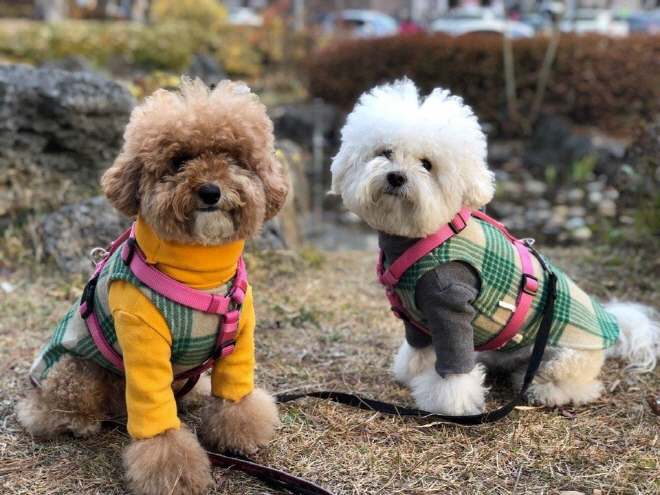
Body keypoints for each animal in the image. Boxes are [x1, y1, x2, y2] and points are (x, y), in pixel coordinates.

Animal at [330, 79, 660, 416]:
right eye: (385, 152)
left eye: (427, 164)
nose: (396, 176)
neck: (423, 239)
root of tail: (612, 322)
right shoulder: (416, 319)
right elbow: (418, 350)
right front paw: (412, 373)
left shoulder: (449, 304)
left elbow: (455, 369)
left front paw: (449, 403)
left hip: (566, 357)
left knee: (573, 382)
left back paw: (545, 389)